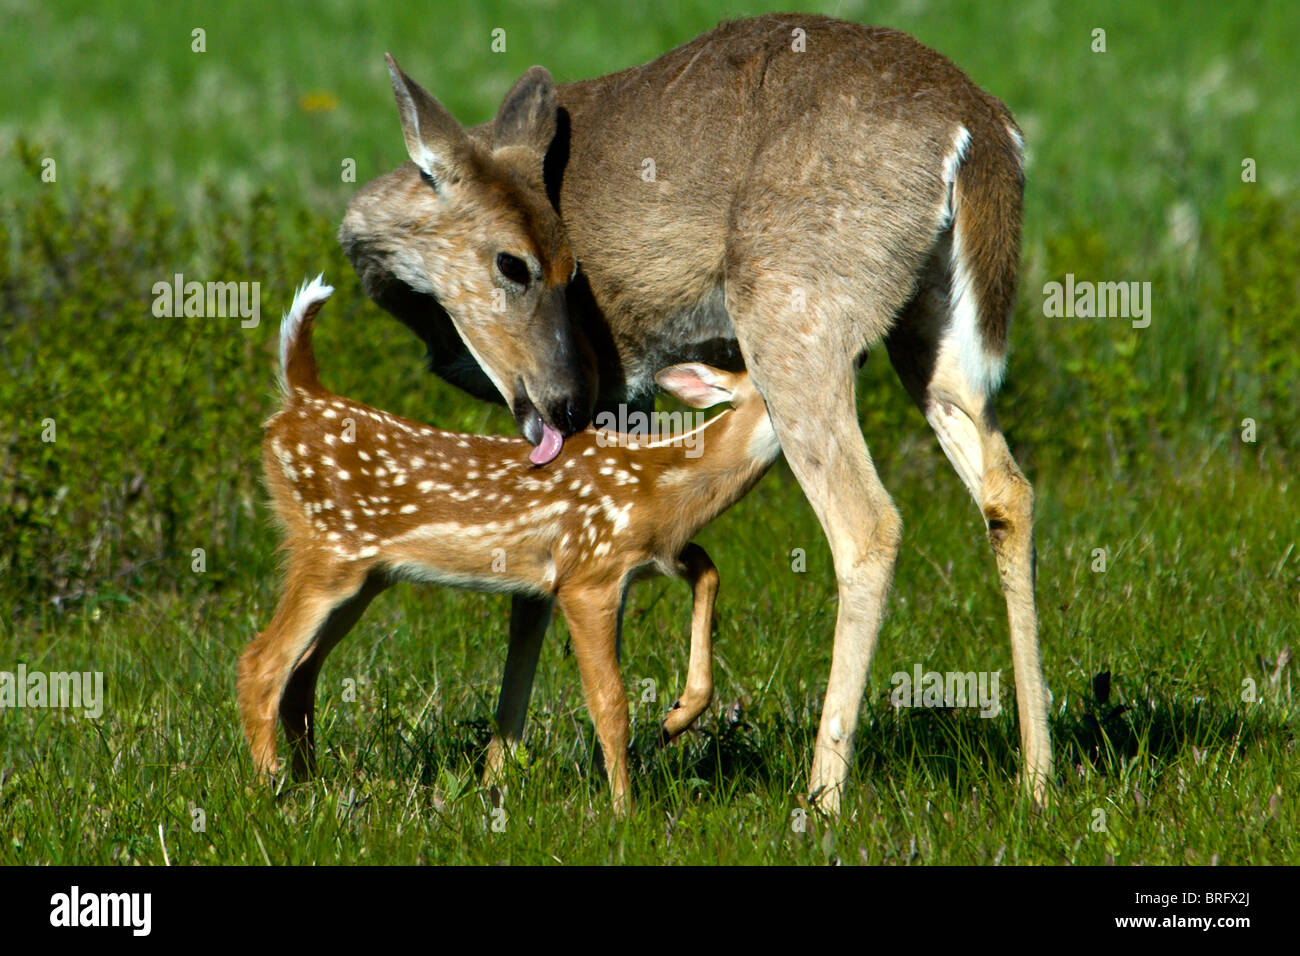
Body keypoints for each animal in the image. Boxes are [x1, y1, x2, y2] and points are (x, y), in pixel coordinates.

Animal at [340, 13, 1050, 816]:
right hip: (935, 334)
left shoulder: (611, 387)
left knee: (867, 521)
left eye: (564, 270)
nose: (563, 398)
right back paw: (1037, 779)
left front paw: (500, 773)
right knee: (1007, 490)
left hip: (791, 306)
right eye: (518, 264)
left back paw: (822, 796)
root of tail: (979, 129)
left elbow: (536, 576)